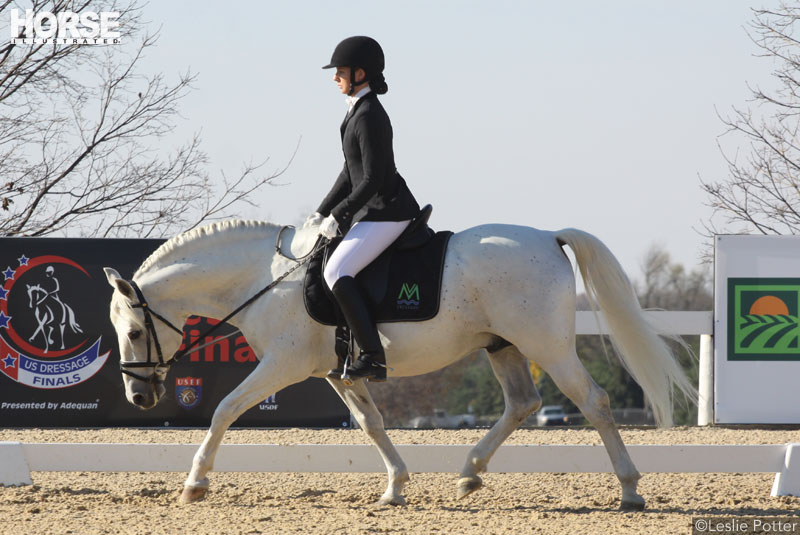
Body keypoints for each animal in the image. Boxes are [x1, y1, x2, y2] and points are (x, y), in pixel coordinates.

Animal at [104, 219, 692, 510]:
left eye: (133, 332)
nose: (139, 398)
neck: (266, 279)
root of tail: (549, 237)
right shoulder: (334, 372)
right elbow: (372, 423)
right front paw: (394, 487)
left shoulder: (282, 365)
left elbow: (225, 409)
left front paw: (195, 484)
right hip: (502, 345)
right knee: (523, 403)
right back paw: (469, 474)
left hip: (545, 345)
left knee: (593, 401)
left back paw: (631, 490)